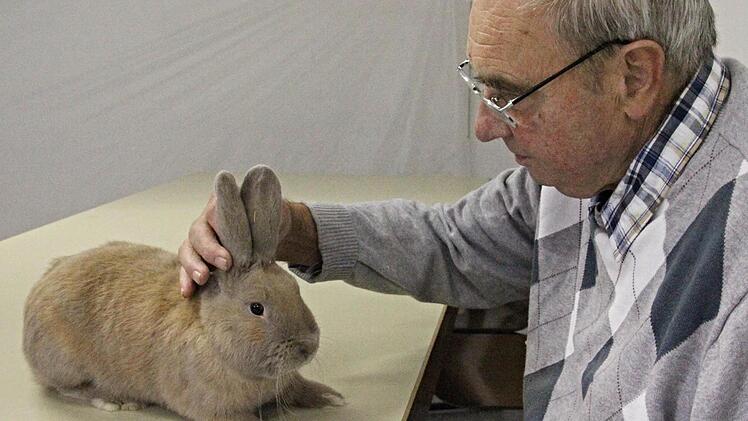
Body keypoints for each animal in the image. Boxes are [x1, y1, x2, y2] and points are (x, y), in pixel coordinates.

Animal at [23, 165, 343, 420]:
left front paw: (331, 397)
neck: (214, 334)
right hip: (64, 360)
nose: (307, 347)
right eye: (256, 308)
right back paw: (115, 400)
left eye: (295, 289)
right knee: (66, 387)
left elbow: (299, 388)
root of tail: (40, 285)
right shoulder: (216, 410)